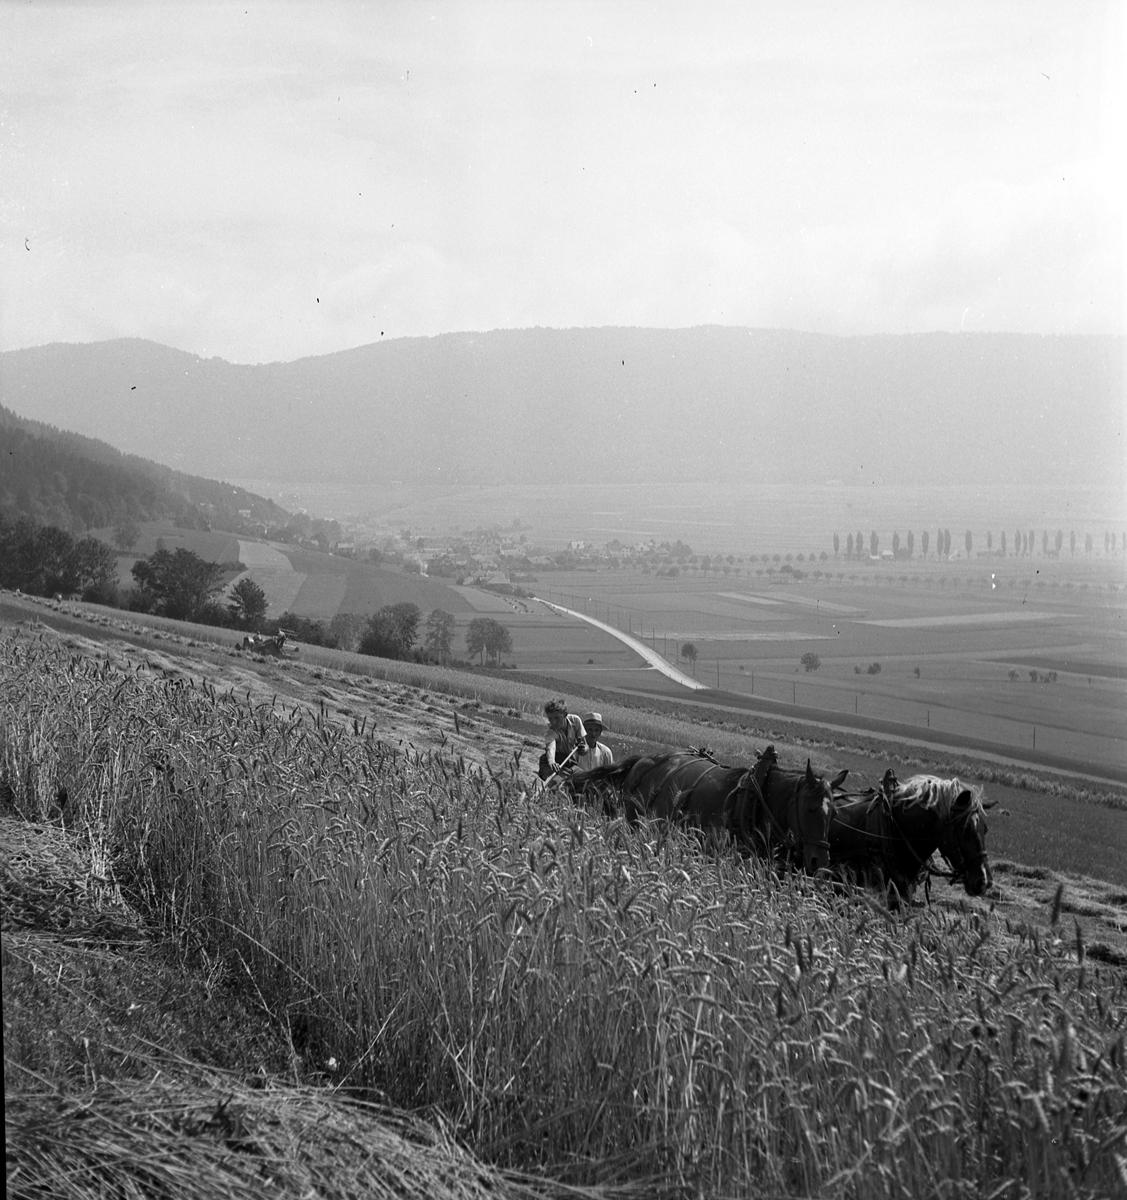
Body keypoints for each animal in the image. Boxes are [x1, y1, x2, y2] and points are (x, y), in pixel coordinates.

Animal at [564, 739, 835, 873]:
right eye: (810, 808)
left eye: (832, 815)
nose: (819, 861)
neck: (754, 798)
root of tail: (645, 760)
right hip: (634, 821)